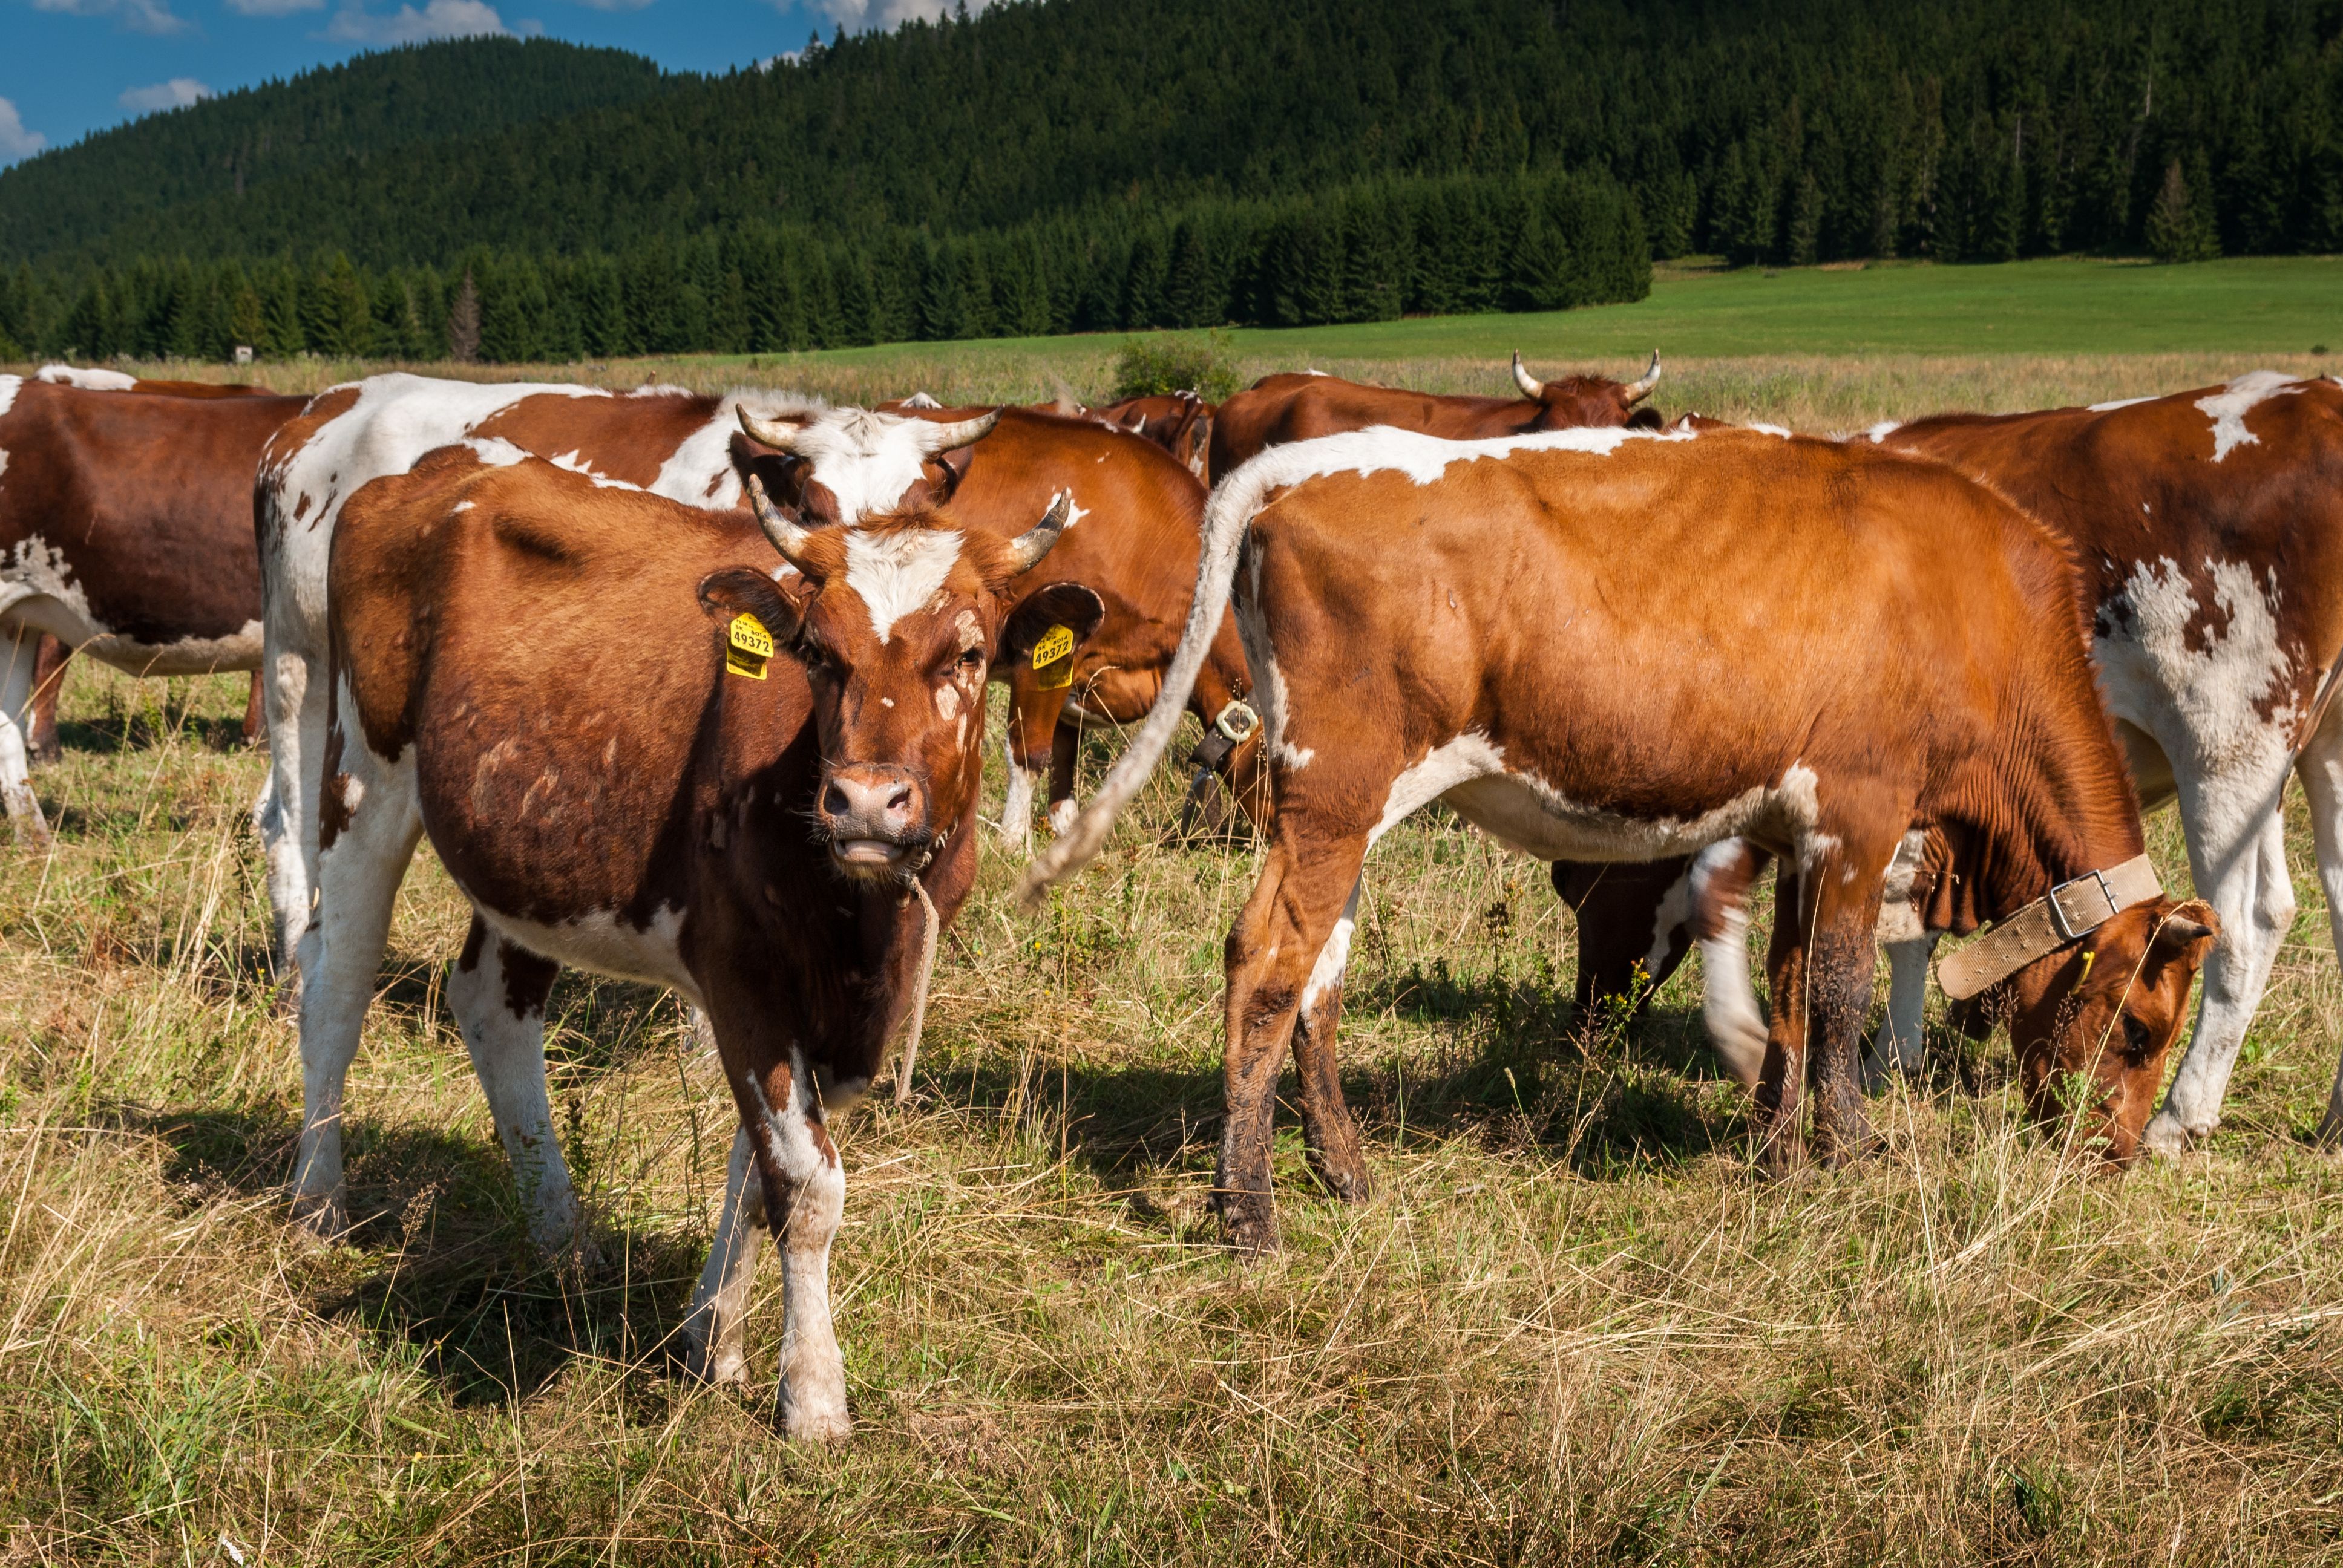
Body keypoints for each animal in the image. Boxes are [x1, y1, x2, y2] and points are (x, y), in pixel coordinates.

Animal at [305, 440, 1095, 1438]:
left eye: (970, 654)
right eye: (819, 654)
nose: (865, 802)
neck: (863, 924)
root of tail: (448, 466)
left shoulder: (850, 1007)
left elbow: (760, 1172)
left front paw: (712, 1341)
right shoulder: (741, 969)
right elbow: (806, 1184)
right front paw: (813, 1395)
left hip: (524, 845)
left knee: (491, 1006)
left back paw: (562, 1237)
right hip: (362, 776)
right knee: (335, 990)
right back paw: (318, 1204)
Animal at [1019, 423, 2217, 1252]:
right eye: (2141, 1028)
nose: (2113, 1155)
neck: (1976, 602)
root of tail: (1300, 465)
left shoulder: (1793, 824)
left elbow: (1789, 987)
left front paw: (1779, 1159)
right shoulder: (1861, 810)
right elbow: (1838, 992)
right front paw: (1849, 1155)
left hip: (1335, 811)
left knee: (1319, 978)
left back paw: (1345, 1172)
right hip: (1338, 791)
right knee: (1265, 965)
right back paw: (1249, 1214)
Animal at [1562, 374, 2343, 1153]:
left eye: (1574, 885)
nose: (1586, 1023)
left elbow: (1717, 887)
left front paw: (1746, 1040)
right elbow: (1909, 926)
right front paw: (1892, 1058)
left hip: (2225, 745)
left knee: (2249, 921)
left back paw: (2179, 1117)